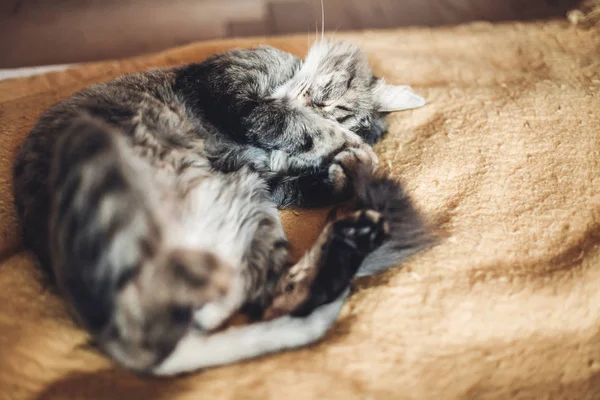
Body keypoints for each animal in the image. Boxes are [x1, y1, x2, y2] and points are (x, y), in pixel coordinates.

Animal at [10, 40, 432, 376]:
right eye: (336, 104)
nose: (318, 104)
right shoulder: (237, 95)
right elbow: (300, 124)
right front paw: (353, 151)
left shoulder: (268, 178)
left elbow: (309, 172)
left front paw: (346, 168)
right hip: (92, 148)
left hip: (250, 203)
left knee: (270, 298)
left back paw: (355, 236)